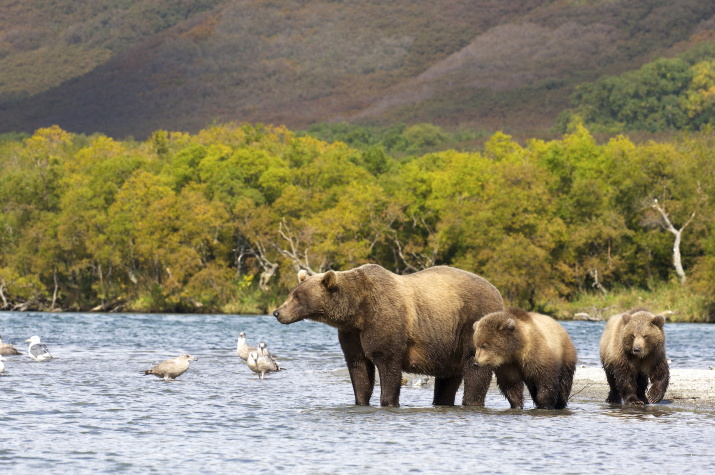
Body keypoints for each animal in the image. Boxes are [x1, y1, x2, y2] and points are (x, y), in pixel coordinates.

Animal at [272, 266, 504, 408]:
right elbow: (359, 367)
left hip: (470, 324)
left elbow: (388, 364)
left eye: (297, 296)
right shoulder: (352, 334)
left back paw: (471, 401)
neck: (357, 312)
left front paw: (388, 401)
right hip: (449, 345)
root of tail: (497, 292)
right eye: (292, 293)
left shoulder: (385, 322)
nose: (277, 312)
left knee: (475, 370)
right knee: (448, 379)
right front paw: (360, 400)